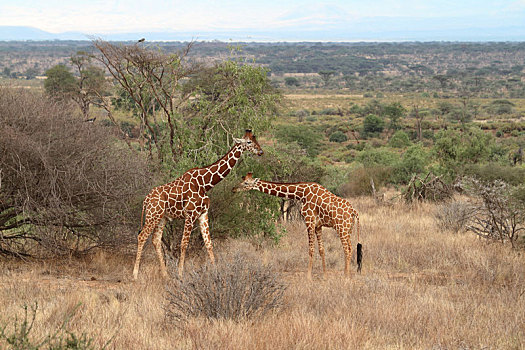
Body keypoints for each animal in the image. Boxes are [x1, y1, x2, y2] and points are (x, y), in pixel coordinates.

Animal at [131, 130, 262, 280]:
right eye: (249, 142)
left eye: (256, 140)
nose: (261, 151)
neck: (205, 183)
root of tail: (146, 199)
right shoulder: (190, 214)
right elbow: (184, 243)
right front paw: (180, 274)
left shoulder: (203, 214)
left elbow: (209, 243)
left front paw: (216, 271)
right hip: (153, 215)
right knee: (142, 236)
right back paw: (135, 274)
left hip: (161, 218)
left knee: (156, 240)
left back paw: (165, 275)